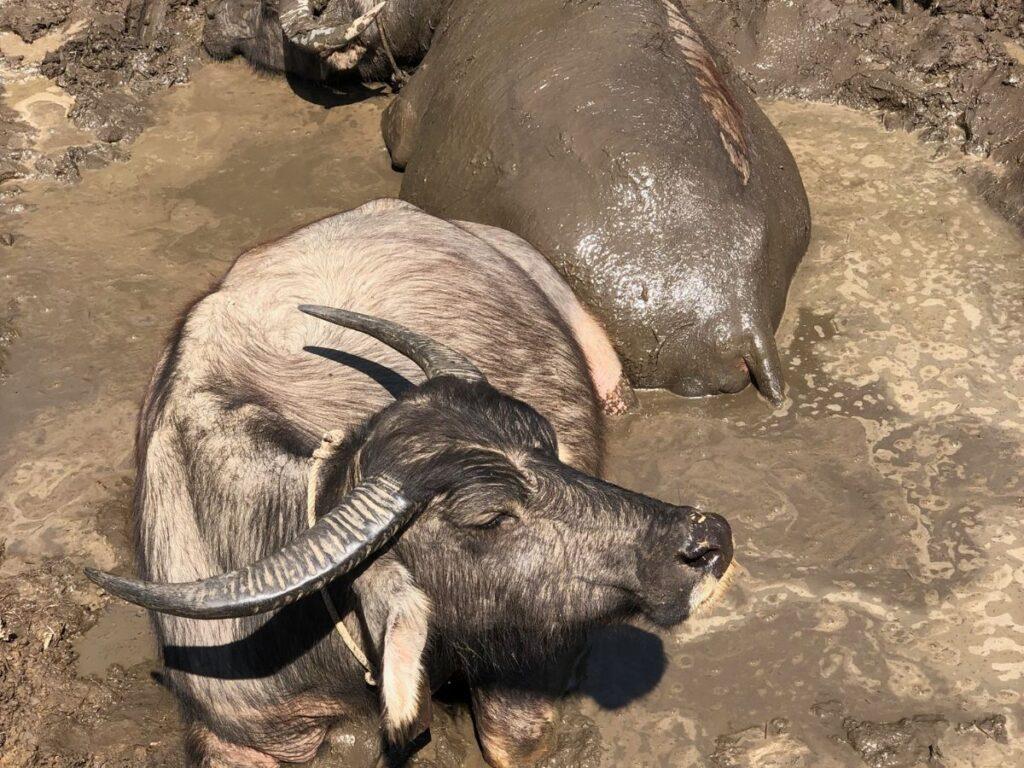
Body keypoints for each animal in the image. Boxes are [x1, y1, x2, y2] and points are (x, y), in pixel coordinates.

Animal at [83, 199, 733, 768]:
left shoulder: (535, 648)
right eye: (489, 516)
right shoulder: (239, 729)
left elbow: (511, 742)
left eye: (547, 443)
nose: (708, 539)